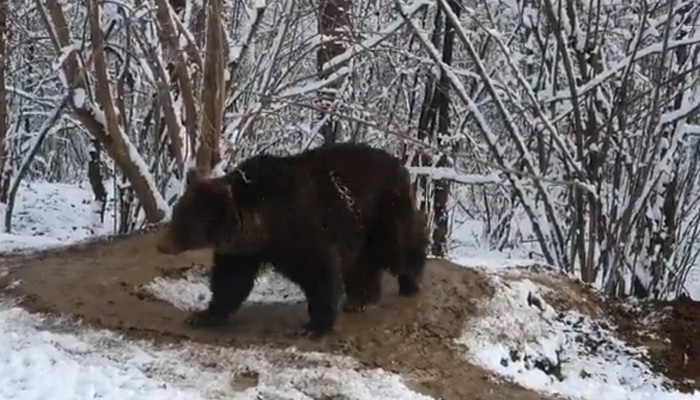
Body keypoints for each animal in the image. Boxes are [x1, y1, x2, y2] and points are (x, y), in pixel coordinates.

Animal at [157, 142, 430, 336]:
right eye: (177, 212)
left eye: (185, 222)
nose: (162, 245)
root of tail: (402, 166)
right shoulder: (244, 250)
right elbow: (230, 280)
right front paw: (202, 315)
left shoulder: (302, 231)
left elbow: (320, 274)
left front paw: (314, 326)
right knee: (362, 262)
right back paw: (360, 299)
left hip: (384, 211)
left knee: (400, 247)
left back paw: (410, 282)